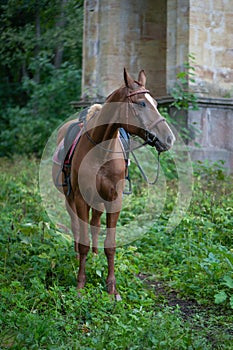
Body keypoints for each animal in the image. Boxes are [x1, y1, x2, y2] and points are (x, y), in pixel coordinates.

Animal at [52, 68, 175, 298]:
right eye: (141, 103)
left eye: (155, 102)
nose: (168, 138)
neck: (101, 149)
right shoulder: (80, 198)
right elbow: (82, 239)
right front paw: (80, 286)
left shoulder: (113, 200)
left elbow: (110, 244)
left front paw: (112, 288)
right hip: (69, 198)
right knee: (77, 227)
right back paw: (77, 256)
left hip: (98, 202)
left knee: (95, 226)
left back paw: (94, 255)